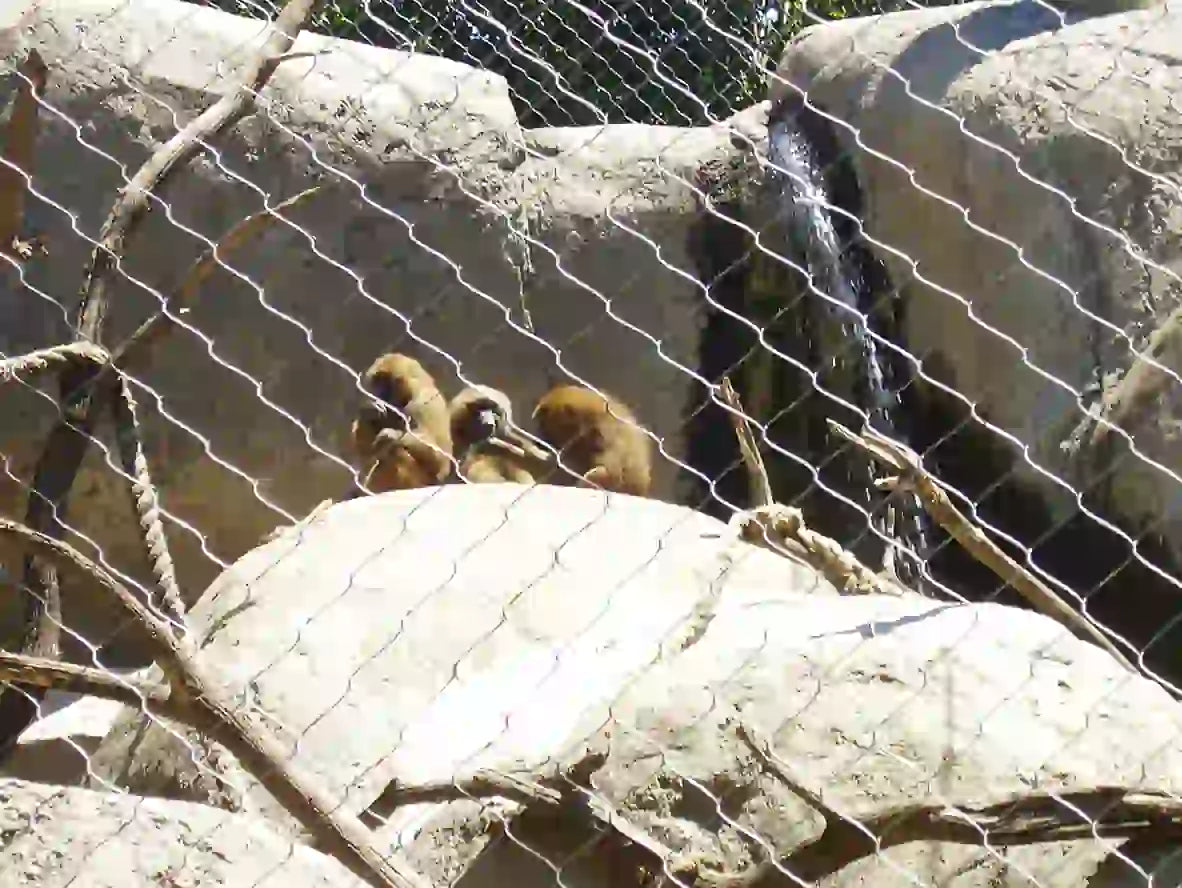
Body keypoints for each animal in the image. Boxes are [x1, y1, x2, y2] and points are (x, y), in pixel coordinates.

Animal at [349, 352, 453, 495]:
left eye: (384, 383)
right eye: (376, 382)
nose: (377, 392)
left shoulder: (424, 403)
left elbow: (440, 462)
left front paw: (392, 435)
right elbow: (366, 453)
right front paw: (369, 413)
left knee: (396, 452)